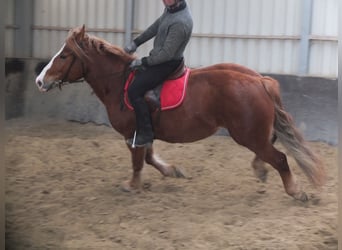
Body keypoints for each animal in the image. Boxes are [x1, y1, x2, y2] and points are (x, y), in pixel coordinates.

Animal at [36, 25, 324, 201]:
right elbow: (149, 157)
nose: (39, 81)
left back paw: (294, 190)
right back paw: (261, 169)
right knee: (270, 146)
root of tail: (258, 80)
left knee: (280, 158)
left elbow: (138, 161)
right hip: (253, 133)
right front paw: (172, 170)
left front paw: (133, 185)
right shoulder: (144, 132)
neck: (119, 82)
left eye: (64, 56)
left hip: (247, 134)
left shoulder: (133, 133)